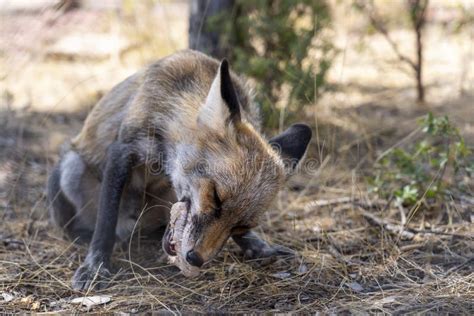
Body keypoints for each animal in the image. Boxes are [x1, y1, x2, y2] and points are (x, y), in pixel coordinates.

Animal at [47, 50, 312, 292]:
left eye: (240, 226)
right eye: (215, 196)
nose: (196, 259)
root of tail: (130, 226)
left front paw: (255, 245)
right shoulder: (122, 150)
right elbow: (106, 221)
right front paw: (95, 266)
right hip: (71, 167)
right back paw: (83, 235)